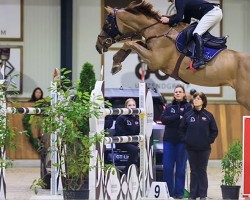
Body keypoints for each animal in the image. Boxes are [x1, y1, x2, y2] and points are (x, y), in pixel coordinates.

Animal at [95, 1, 250, 111]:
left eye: (107, 23)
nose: (98, 45)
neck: (158, 31)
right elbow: (135, 43)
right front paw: (116, 62)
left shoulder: (154, 61)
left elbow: (130, 43)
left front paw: (116, 64)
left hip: (244, 97)